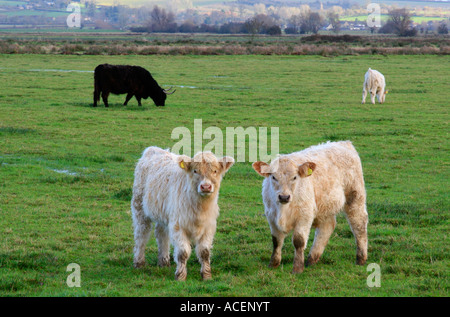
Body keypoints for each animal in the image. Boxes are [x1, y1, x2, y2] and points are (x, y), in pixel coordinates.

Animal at [131, 146, 234, 278]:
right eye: (195, 171)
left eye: (215, 171)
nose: (206, 187)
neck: (200, 209)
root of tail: (153, 149)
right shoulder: (178, 225)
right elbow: (183, 252)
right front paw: (180, 275)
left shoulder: (209, 226)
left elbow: (204, 252)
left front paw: (206, 275)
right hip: (139, 207)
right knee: (141, 235)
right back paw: (139, 262)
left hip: (164, 214)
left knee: (161, 234)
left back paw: (164, 262)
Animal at [251, 140, 368, 272]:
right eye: (273, 177)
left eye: (295, 177)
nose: (284, 197)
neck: (283, 209)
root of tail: (343, 143)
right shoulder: (271, 216)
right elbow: (276, 241)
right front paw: (273, 264)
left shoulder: (304, 216)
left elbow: (299, 241)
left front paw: (297, 268)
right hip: (325, 205)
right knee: (327, 227)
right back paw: (312, 259)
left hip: (355, 197)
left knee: (359, 224)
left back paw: (361, 258)